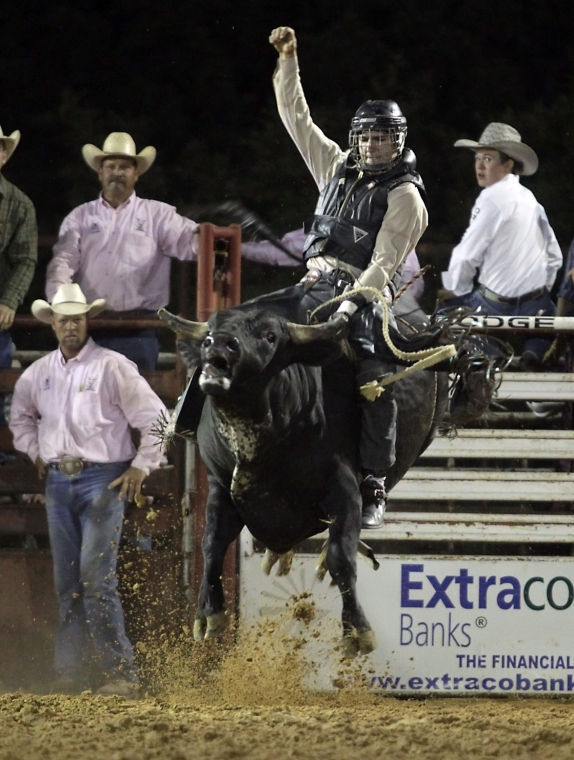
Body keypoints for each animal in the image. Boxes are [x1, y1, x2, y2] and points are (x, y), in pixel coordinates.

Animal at [159, 302, 482, 660]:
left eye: (270, 336)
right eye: (211, 330)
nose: (219, 343)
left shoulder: (342, 490)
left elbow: (342, 555)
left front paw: (357, 631)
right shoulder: (220, 486)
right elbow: (212, 544)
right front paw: (208, 615)